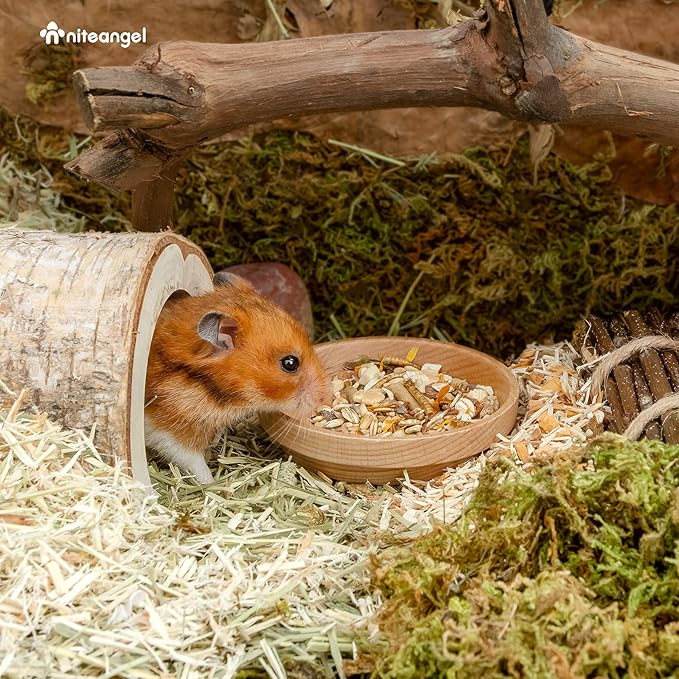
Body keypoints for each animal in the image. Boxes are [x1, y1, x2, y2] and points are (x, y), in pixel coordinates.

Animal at [144, 271, 331, 484]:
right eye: (290, 363)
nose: (327, 397)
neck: (207, 385)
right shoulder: (168, 432)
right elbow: (194, 463)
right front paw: (212, 484)